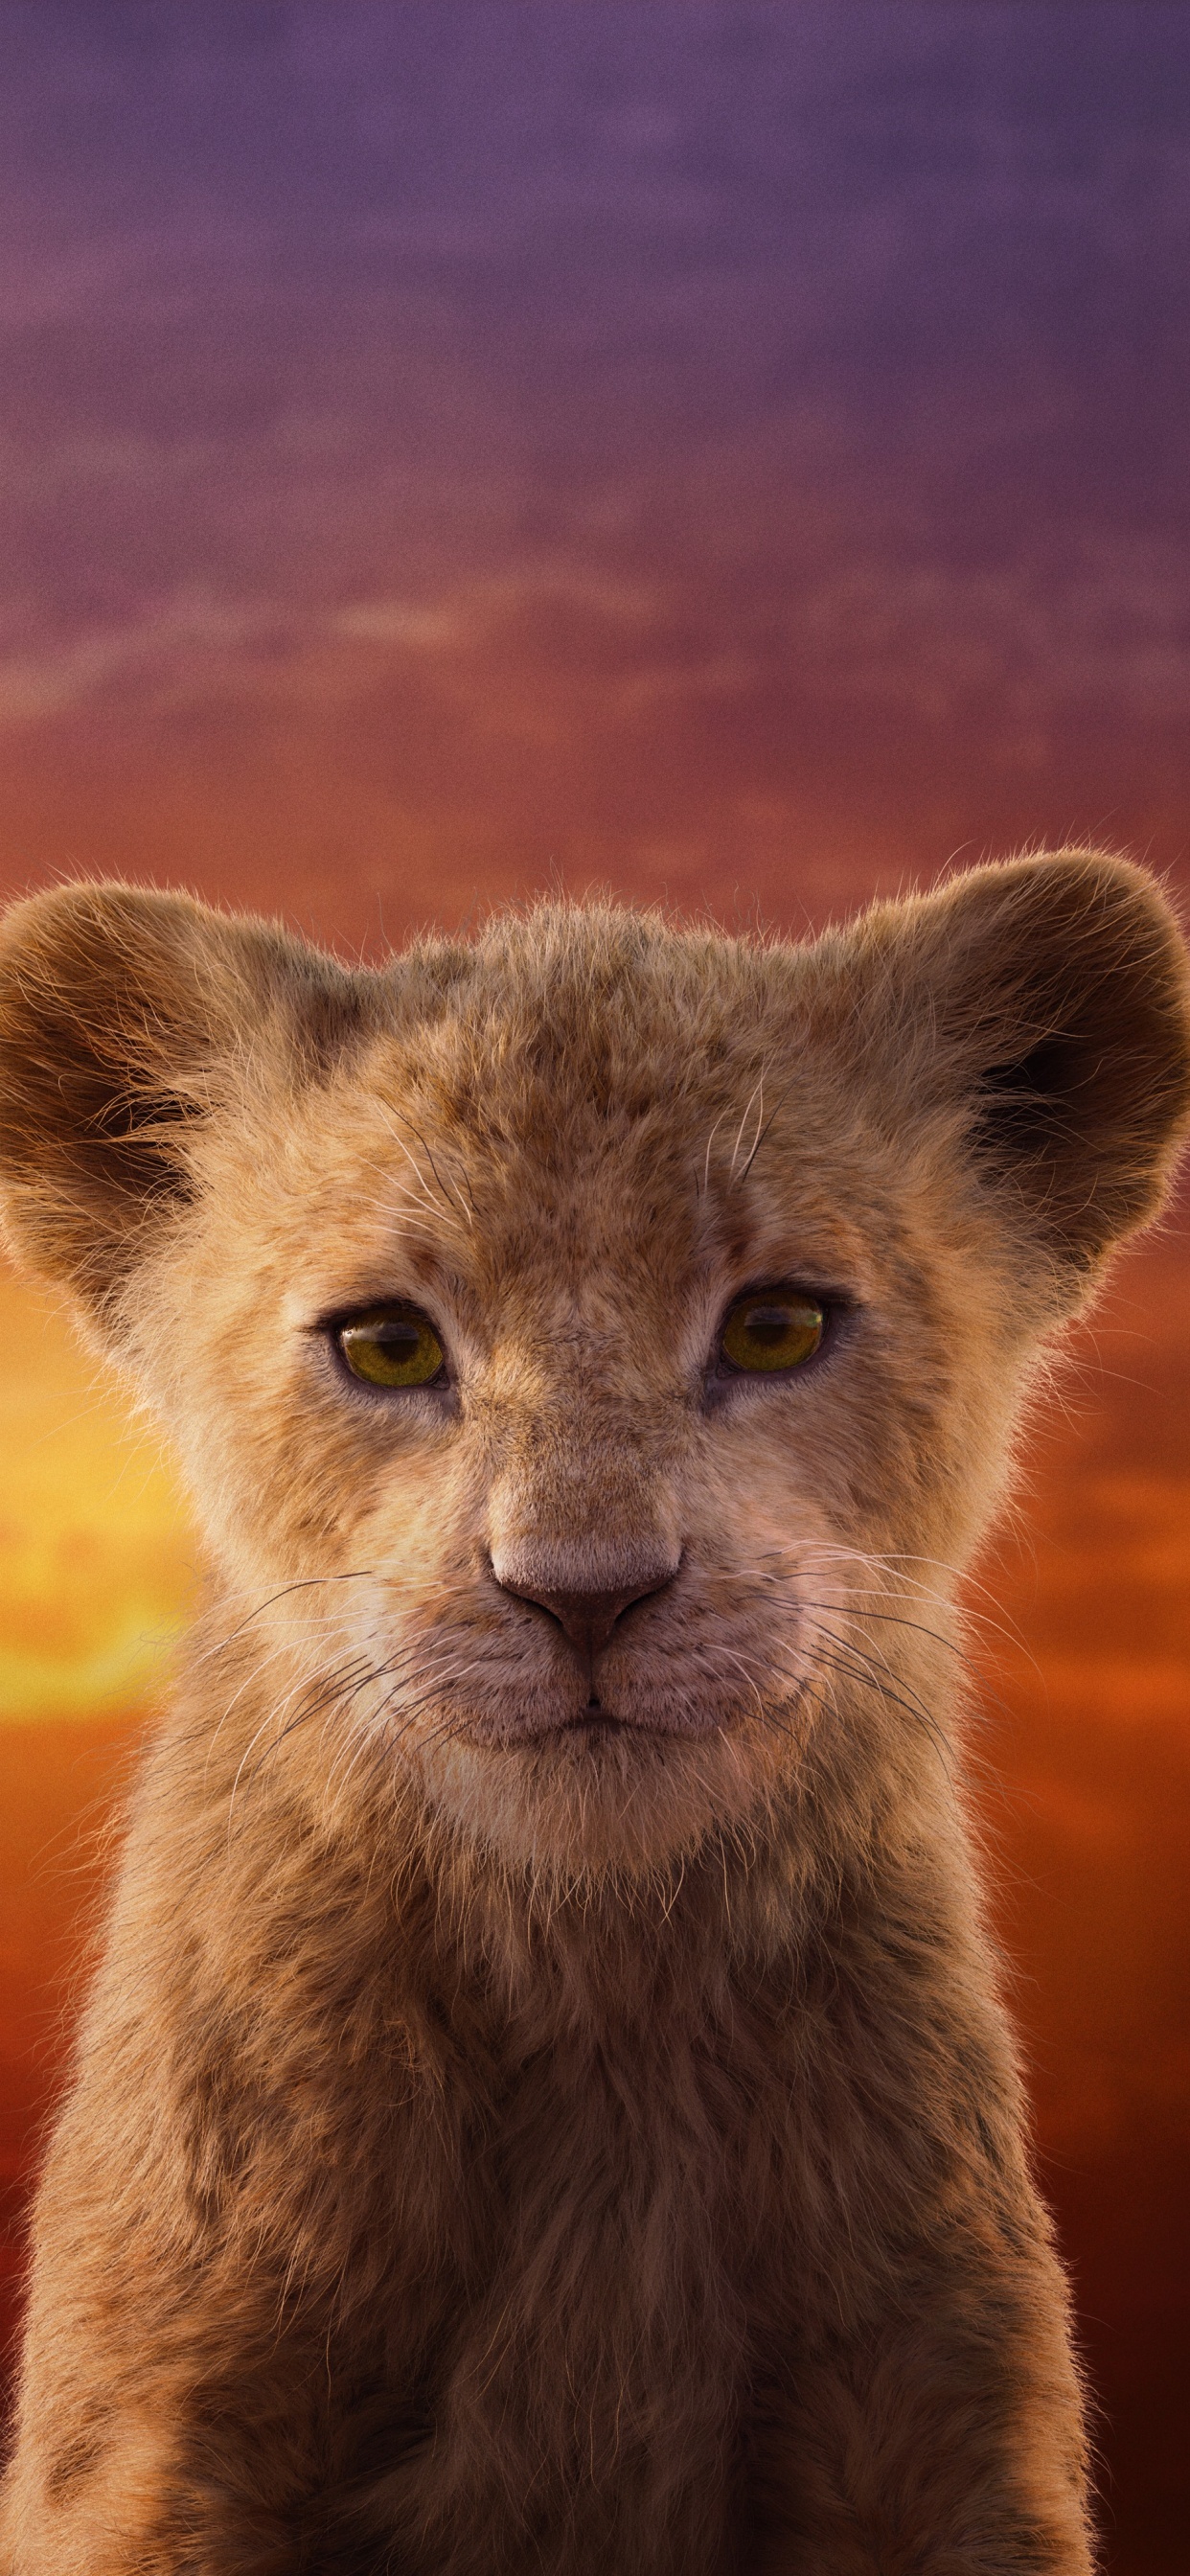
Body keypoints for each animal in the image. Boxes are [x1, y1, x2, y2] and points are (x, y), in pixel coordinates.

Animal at [0, 852, 1186, 2574]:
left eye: (774, 1325)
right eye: (387, 1343)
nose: (583, 1596)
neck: (592, 1973)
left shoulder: (938, 2431)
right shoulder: (160, 2439)